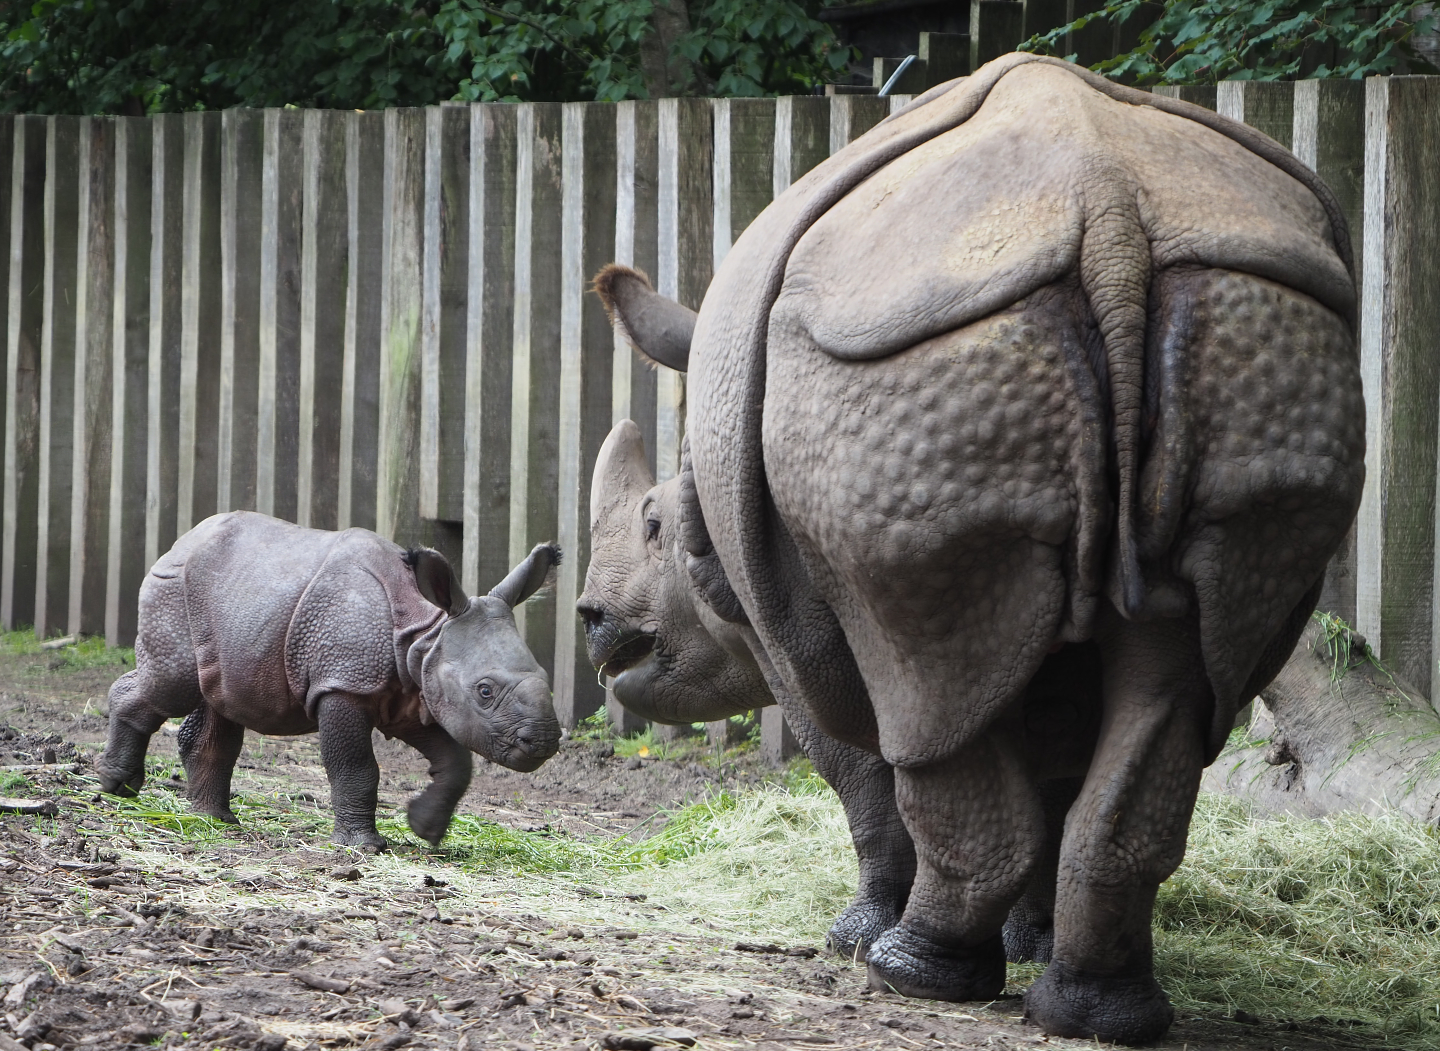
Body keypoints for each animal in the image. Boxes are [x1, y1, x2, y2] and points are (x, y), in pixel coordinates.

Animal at [97, 511, 562, 852]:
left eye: (545, 677)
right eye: (485, 691)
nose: (543, 742)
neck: (425, 634)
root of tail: (178, 543)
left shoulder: (415, 693)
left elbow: (457, 763)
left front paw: (425, 829)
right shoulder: (343, 684)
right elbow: (355, 765)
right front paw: (363, 846)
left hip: (233, 601)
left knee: (216, 700)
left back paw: (213, 820)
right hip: (173, 589)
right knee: (170, 686)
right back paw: (118, 786)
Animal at [578, 54, 1363, 1045]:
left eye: (653, 525)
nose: (591, 620)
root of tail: (1110, 211)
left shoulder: (783, 632)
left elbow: (863, 771)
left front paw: (856, 934)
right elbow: (1049, 761)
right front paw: (1031, 942)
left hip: (898, 368)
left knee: (923, 684)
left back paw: (908, 970)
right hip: (1257, 331)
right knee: (1177, 672)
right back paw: (1100, 1011)